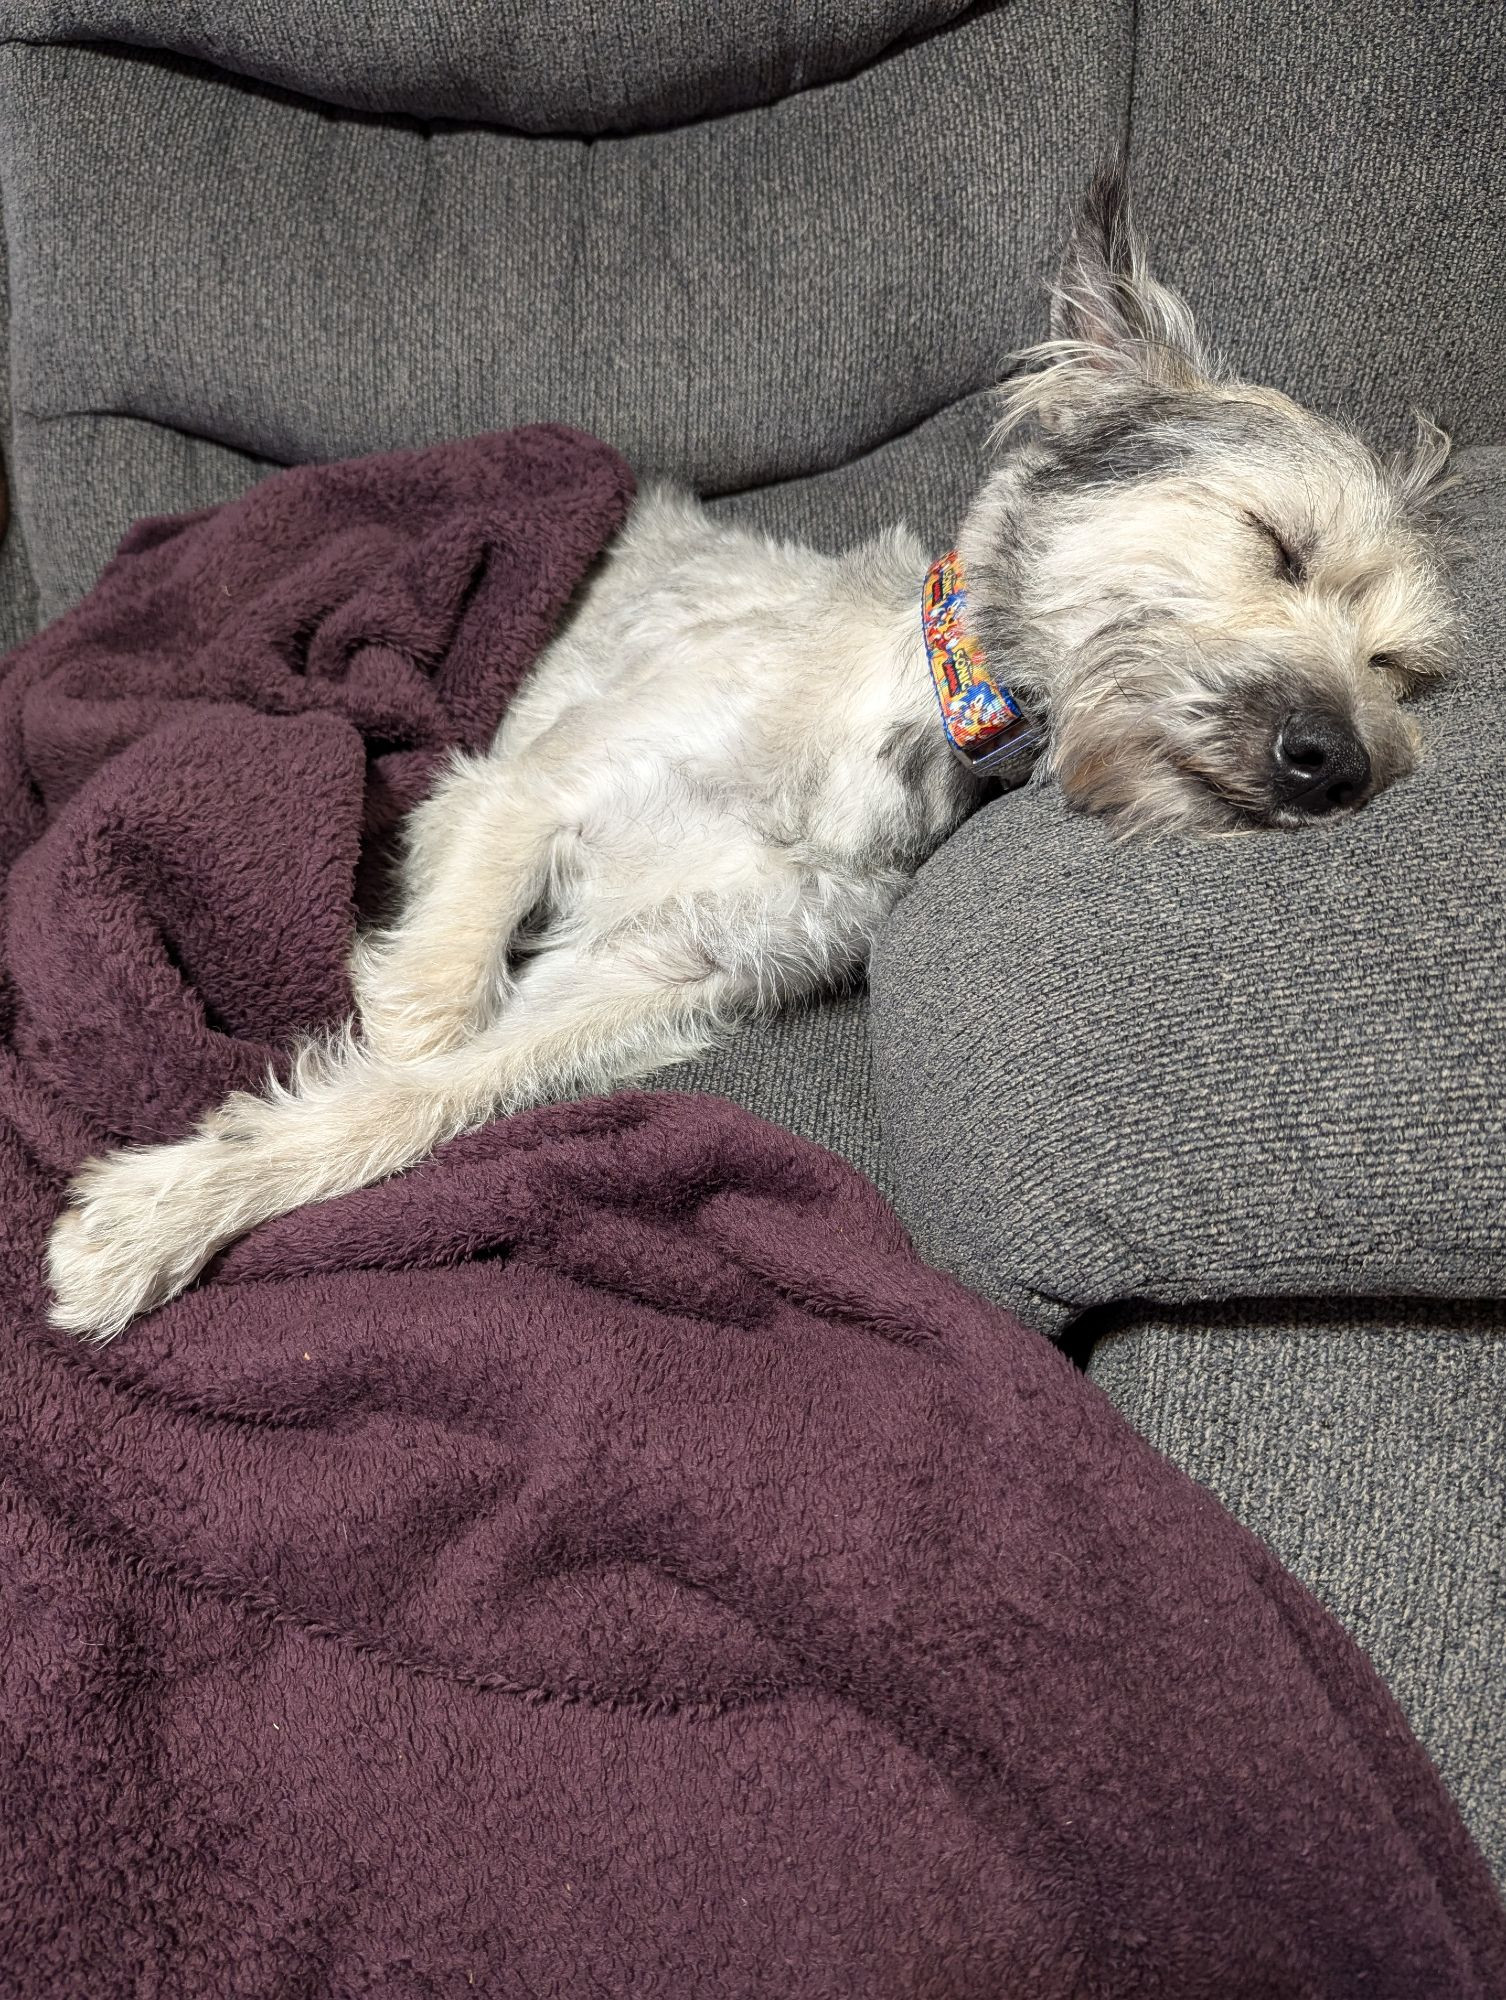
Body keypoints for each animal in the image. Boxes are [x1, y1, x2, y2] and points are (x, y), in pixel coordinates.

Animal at [50, 168, 1456, 1328]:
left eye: (1395, 671)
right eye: (1277, 543)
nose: (1339, 762)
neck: (895, 720)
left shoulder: (661, 970)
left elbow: (431, 1092)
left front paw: (162, 1213)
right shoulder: (516, 788)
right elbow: (434, 1010)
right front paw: (277, 1107)